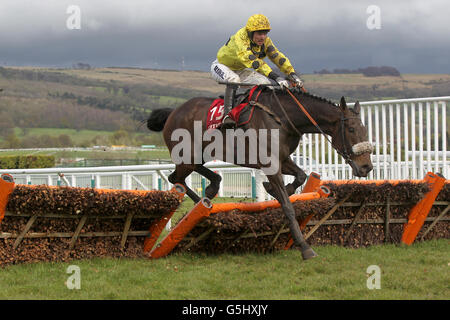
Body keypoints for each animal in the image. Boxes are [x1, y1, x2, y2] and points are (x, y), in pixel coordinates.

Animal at [147, 85, 372, 260]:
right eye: (351, 129)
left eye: (365, 129)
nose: (366, 167)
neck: (284, 118)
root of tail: (173, 112)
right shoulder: (270, 163)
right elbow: (288, 206)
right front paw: (304, 247)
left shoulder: (283, 159)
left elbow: (300, 176)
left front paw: (273, 189)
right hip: (186, 156)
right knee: (176, 178)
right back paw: (203, 205)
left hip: (199, 156)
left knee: (187, 176)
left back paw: (210, 192)